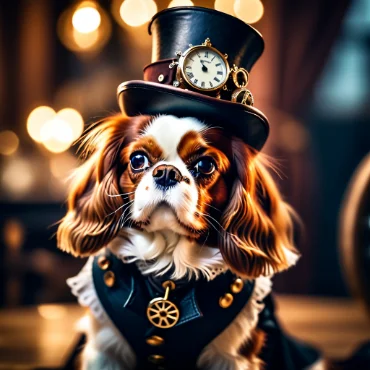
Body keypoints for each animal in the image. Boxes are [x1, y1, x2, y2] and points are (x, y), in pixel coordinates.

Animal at [57, 114, 324, 368]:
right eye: (138, 160)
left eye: (205, 165)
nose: (166, 172)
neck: (168, 269)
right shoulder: (105, 349)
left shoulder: (231, 357)